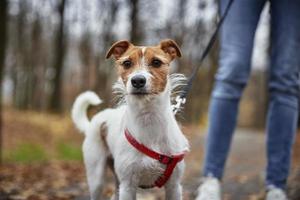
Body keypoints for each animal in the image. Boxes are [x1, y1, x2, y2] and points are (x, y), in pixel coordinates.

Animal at [72, 39, 190, 200]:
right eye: (127, 63)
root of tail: (93, 122)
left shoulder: (174, 186)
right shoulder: (128, 186)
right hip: (96, 177)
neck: (148, 119)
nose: (138, 80)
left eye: (156, 62)